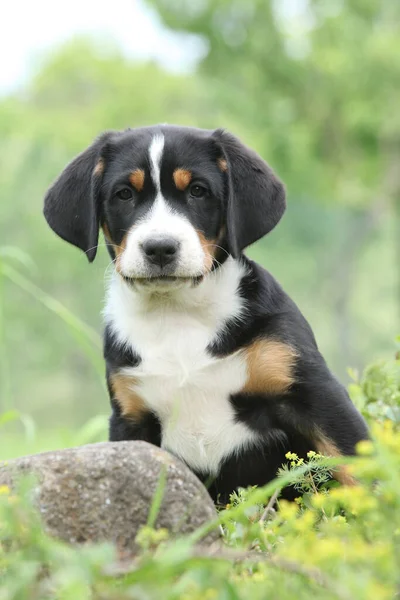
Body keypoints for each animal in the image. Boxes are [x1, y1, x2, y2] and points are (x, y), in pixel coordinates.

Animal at [43, 125, 368, 502]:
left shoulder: (313, 394)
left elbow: (361, 468)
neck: (178, 314)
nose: (159, 248)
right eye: (124, 194)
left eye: (198, 191)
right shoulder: (132, 417)